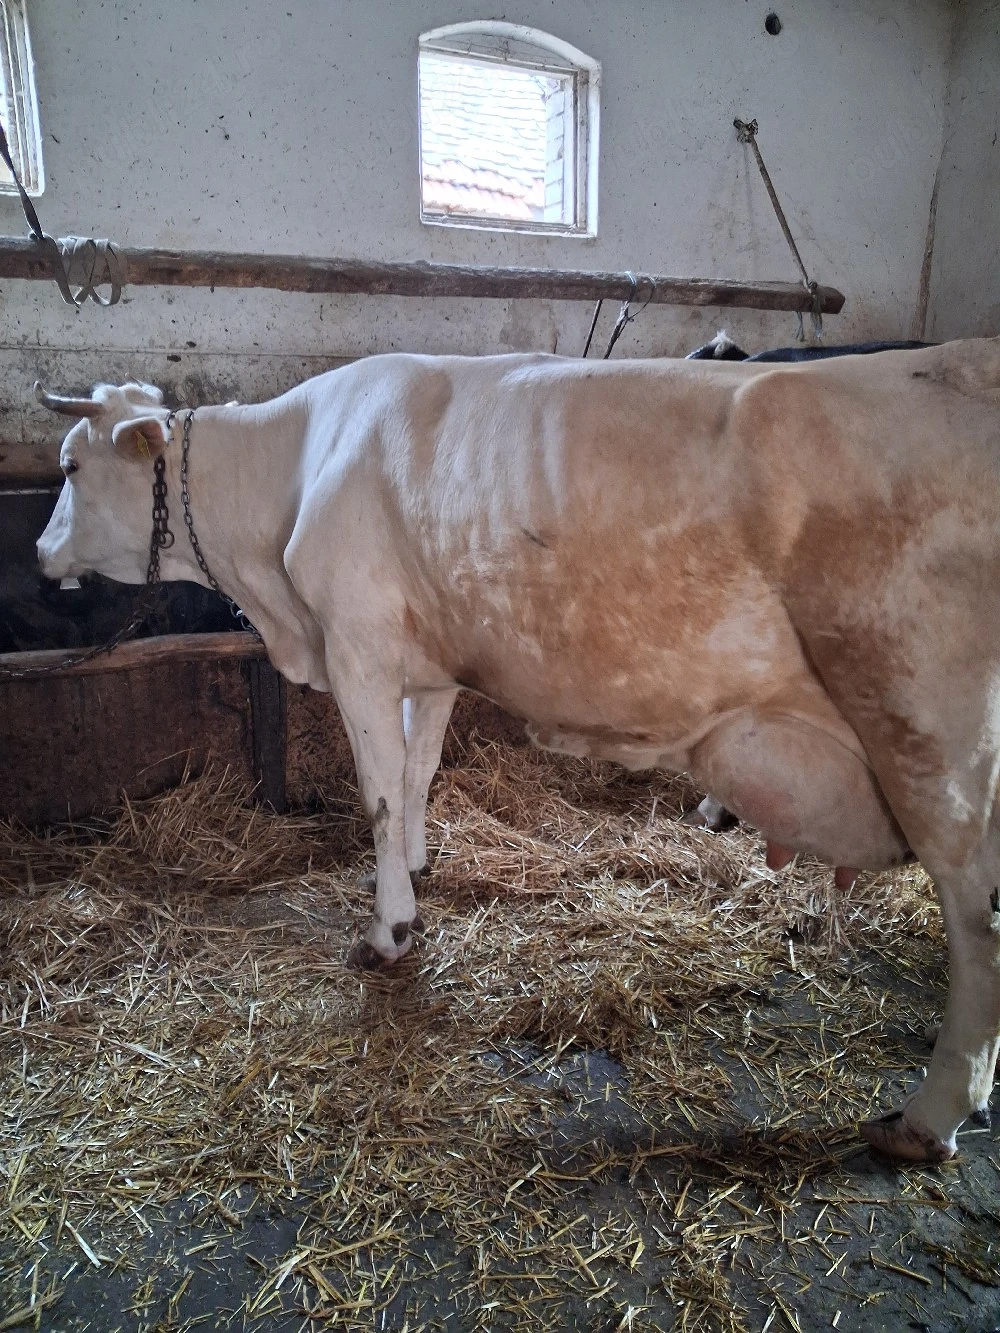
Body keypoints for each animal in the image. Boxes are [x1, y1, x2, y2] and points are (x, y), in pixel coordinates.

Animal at [34, 339, 1000, 1166]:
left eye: (72, 466)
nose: (41, 554)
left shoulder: (359, 647)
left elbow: (378, 789)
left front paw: (387, 929)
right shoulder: (428, 663)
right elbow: (416, 774)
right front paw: (416, 868)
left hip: (930, 735)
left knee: (976, 920)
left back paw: (929, 1115)